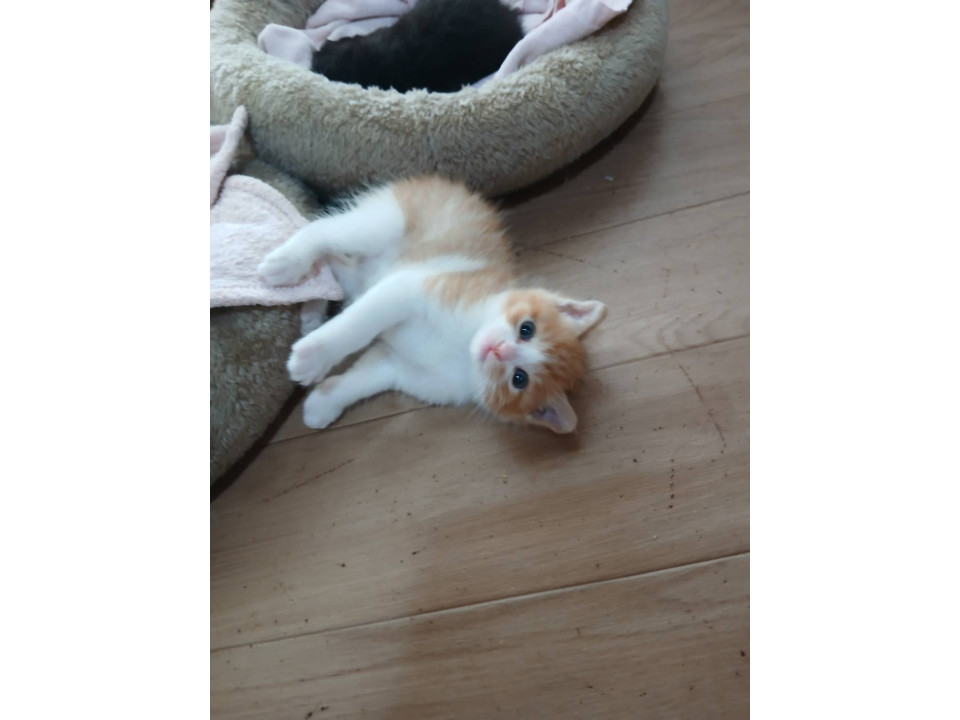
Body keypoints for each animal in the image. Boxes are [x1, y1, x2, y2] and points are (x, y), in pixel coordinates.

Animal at [258, 176, 608, 433]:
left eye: (519, 379)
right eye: (526, 329)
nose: (497, 349)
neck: (462, 346)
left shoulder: (398, 367)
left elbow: (360, 380)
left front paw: (322, 404)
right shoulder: (408, 289)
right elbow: (357, 327)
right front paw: (312, 358)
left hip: (359, 273)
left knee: (333, 269)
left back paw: (311, 309)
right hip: (383, 223)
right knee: (320, 232)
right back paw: (286, 263)